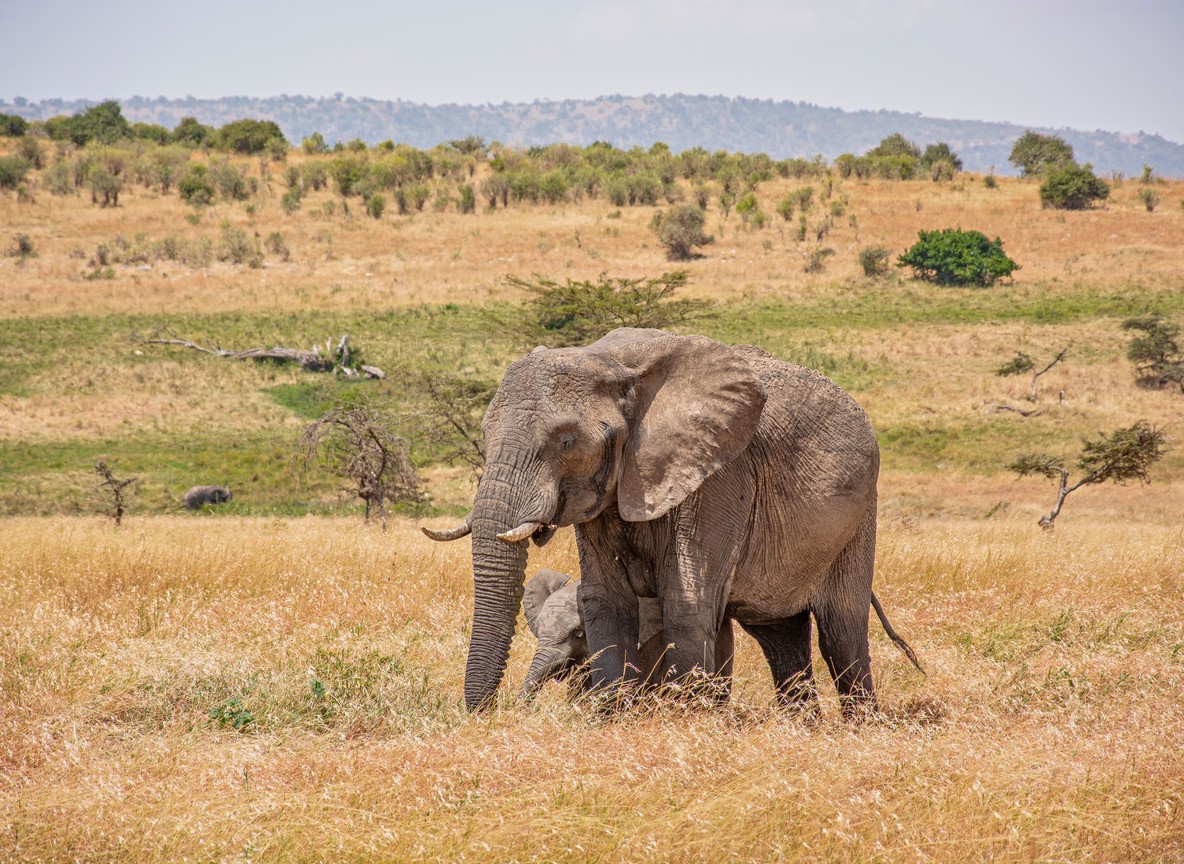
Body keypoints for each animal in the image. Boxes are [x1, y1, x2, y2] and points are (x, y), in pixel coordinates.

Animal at [423, 327, 909, 718]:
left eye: (566, 441)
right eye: (484, 434)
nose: (486, 714)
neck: (614, 364)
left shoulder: (718, 476)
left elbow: (686, 601)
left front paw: (681, 724)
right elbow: (605, 601)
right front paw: (608, 722)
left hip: (860, 516)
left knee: (841, 634)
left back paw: (857, 730)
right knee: (780, 637)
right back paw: (802, 729)